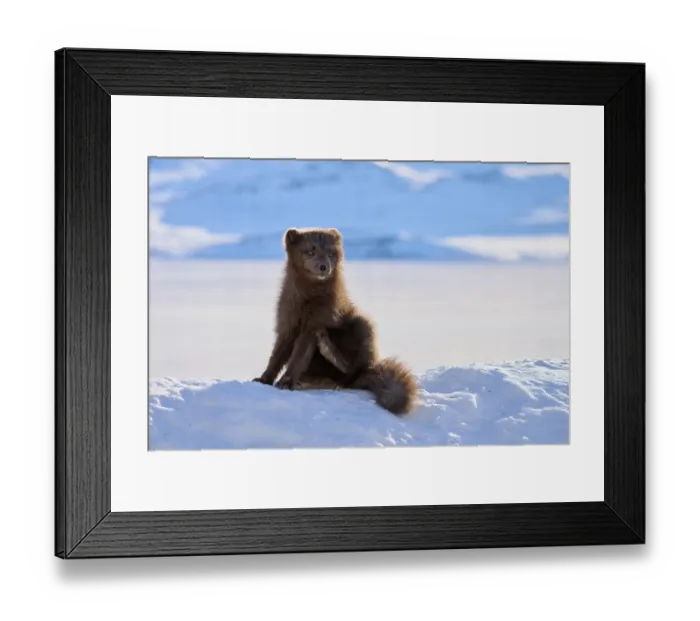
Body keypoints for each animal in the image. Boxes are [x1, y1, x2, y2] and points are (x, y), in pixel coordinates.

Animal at [253, 227, 418, 415]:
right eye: (310, 251)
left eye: (331, 254)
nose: (324, 267)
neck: (307, 300)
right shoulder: (287, 323)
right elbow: (276, 356)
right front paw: (264, 379)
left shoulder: (313, 325)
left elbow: (298, 356)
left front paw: (286, 381)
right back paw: (311, 380)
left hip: (362, 324)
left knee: (348, 375)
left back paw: (329, 352)